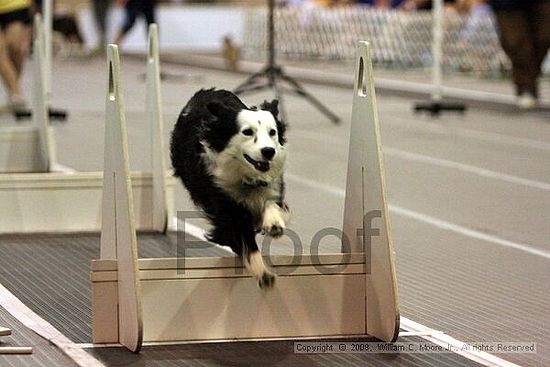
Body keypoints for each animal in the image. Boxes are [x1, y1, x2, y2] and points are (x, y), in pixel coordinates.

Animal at [171, 89, 294, 290]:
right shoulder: (225, 207)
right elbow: (245, 242)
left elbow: (272, 204)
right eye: (247, 132)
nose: (269, 151)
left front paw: (274, 224)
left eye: (273, 132)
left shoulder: (272, 186)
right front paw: (263, 274)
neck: (246, 177)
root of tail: (206, 92)